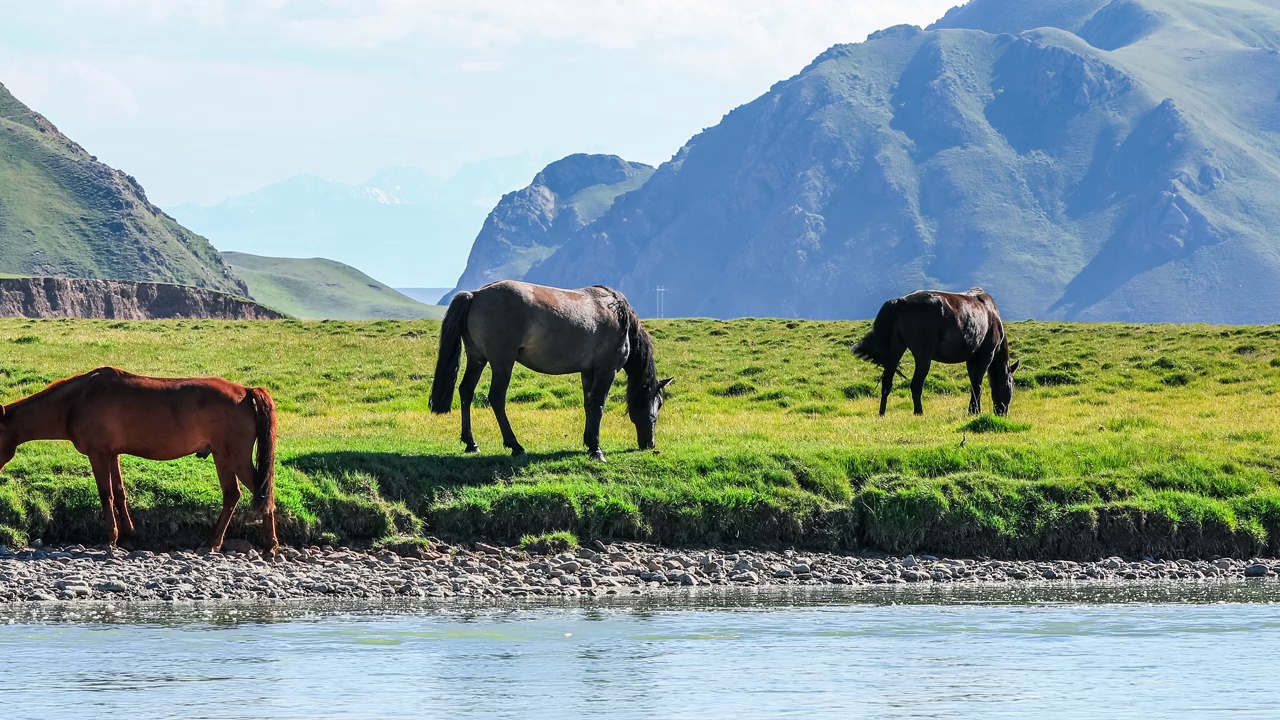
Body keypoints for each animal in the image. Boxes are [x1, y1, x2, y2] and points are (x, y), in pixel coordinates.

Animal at [0, 366, 277, 545]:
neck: (76, 402)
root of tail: (246, 391)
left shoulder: (98, 454)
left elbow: (106, 494)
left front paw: (111, 538)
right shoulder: (112, 455)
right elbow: (119, 492)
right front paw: (129, 533)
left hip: (236, 457)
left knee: (262, 492)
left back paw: (270, 545)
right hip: (221, 456)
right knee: (232, 495)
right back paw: (214, 542)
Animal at [430, 280, 675, 458]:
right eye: (659, 403)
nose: (649, 443)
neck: (619, 317)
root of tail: (476, 294)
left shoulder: (588, 373)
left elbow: (589, 405)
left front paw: (588, 442)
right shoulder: (606, 371)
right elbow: (598, 406)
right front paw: (596, 450)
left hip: (477, 359)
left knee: (466, 391)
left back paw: (471, 443)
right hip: (502, 362)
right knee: (496, 398)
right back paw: (515, 445)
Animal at [849, 285, 1018, 415]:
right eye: (1011, 383)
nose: (1002, 413)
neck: (991, 314)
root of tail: (899, 302)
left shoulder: (971, 359)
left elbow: (973, 383)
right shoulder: (985, 355)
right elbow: (977, 384)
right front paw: (974, 411)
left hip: (895, 351)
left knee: (887, 383)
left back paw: (882, 413)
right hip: (923, 356)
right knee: (916, 384)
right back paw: (918, 412)